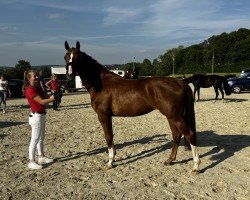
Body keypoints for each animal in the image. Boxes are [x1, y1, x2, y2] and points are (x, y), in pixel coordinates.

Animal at [63, 40, 200, 172]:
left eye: (78, 57)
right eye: (66, 56)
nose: (69, 74)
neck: (101, 84)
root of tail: (179, 81)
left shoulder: (103, 115)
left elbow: (108, 137)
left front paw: (110, 162)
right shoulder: (108, 116)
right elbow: (111, 135)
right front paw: (113, 158)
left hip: (175, 116)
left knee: (189, 134)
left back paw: (196, 166)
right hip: (171, 116)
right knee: (176, 135)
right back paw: (170, 160)